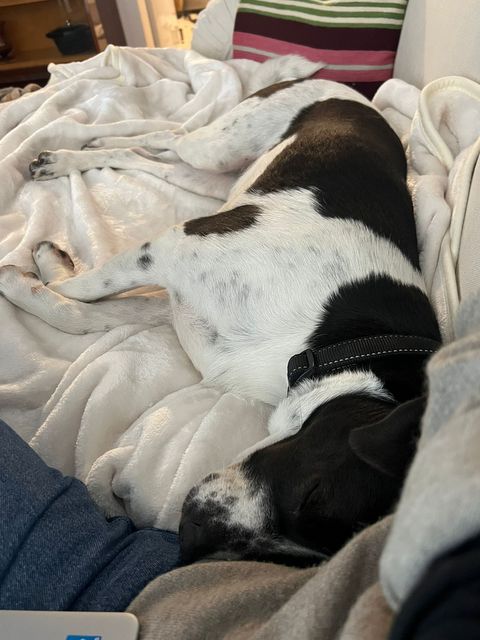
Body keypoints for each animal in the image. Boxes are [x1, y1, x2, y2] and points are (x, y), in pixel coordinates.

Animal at [0, 78, 441, 567]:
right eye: (313, 493)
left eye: (309, 560)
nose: (189, 539)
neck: (349, 340)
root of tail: (348, 90)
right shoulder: (173, 246)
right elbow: (84, 290)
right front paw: (38, 272)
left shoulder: (177, 304)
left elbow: (78, 310)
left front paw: (39, 278)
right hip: (219, 147)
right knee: (167, 135)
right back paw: (69, 151)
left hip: (213, 176)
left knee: (149, 155)